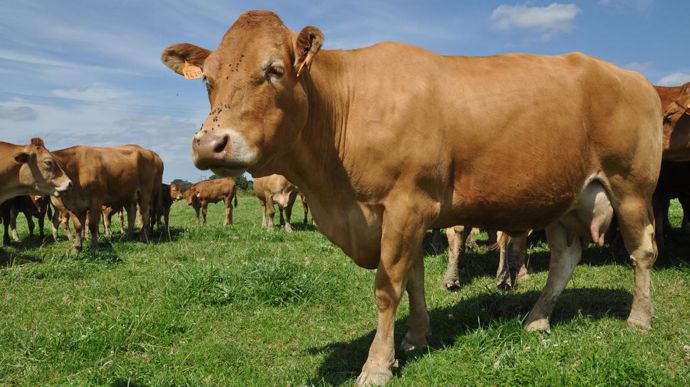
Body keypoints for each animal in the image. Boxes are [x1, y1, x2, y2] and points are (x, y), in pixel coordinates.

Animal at [163, 10, 660, 386]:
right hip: (564, 197)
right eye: (206, 80)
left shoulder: (405, 204)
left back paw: (639, 319)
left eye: (274, 70)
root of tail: (633, 77)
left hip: (630, 186)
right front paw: (417, 338)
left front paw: (377, 365)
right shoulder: (408, 216)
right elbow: (415, 279)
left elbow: (388, 288)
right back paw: (537, 319)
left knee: (642, 252)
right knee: (565, 259)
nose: (210, 145)